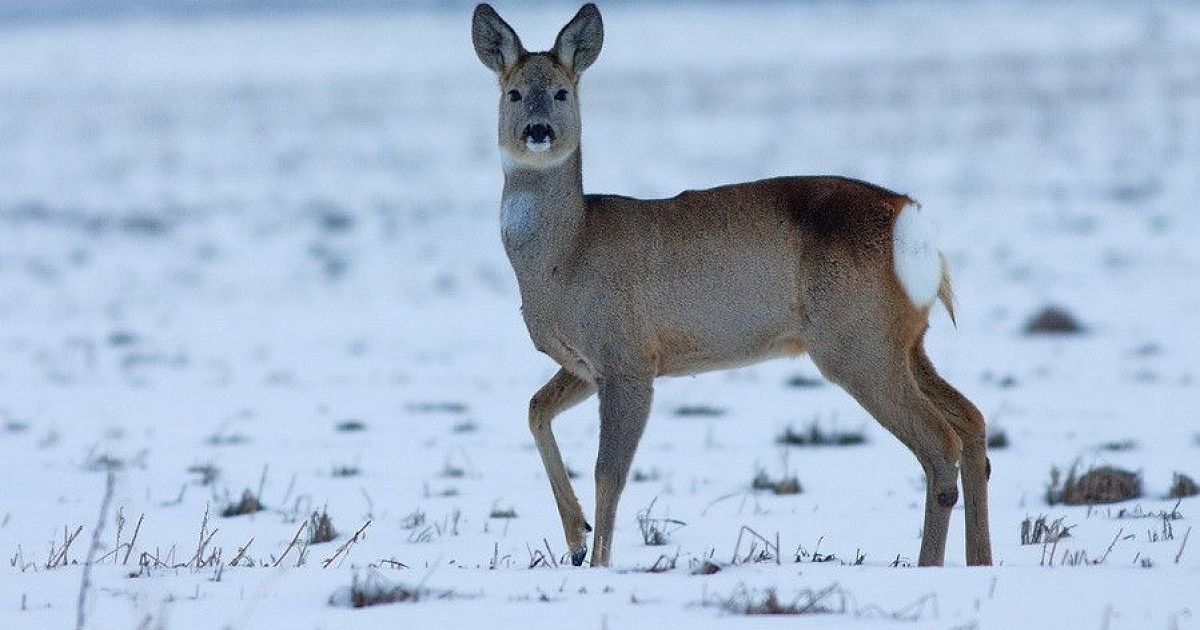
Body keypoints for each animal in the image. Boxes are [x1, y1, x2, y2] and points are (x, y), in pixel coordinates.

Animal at [472, 3, 988, 564]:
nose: (538, 130)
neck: (566, 255)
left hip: (856, 342)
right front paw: (575, 538)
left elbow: (609, 472)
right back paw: (980, 559)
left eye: (563, 92)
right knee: (972, 422)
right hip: (905, 341)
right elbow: (535, 409)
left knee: (941, 443)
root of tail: (910, 221)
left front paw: (598, 562)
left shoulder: (628, 356)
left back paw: (930, 565)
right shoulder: (587, 363)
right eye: (513, 92)